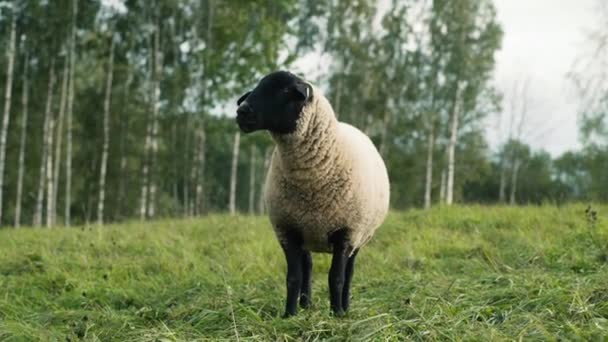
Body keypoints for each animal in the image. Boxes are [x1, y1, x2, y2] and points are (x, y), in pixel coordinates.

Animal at [234, 70, 390, 318]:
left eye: (283, 90)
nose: (242, 112)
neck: (309, 181)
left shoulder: (346, 232)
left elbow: (336, 277)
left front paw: (337, 314)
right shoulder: (287, 230)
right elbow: (293, 277)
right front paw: (289, 314)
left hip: (360, 235)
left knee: (349, 272)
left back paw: (345, 306)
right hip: (305, 229)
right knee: (307, 267)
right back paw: (306, 304)